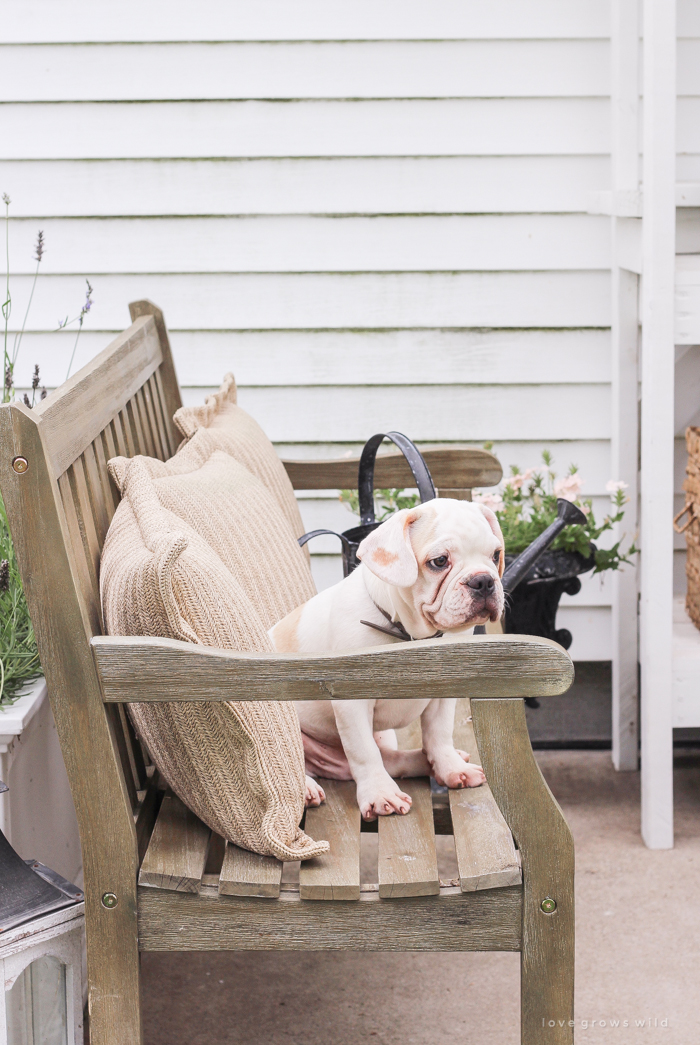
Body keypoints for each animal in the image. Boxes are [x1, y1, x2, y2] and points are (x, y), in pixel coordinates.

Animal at [271, 499, 507, 823]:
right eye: (439, 562)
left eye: (495, 555)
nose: (483, 580)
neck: (412, 636)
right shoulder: (352, 703)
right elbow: (363, 752)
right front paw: (380, 794)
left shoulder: (444, 693)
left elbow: (439, 733)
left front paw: (450, 767)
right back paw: (307, 788)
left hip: (385, 737)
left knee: (390, 759)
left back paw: (427, 762)